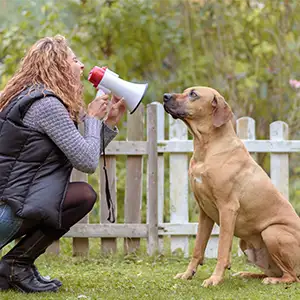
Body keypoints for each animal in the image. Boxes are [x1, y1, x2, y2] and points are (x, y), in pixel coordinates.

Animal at [163, 86, 300, 286]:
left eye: (193, 94)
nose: (165, 96)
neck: (207, 147)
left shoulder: (227, 208)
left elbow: (222, 249)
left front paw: (214, 279)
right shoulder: (204, 212)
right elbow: (198, 248)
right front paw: (188, 274)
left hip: (272, 231)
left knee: (292, 276)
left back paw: (272, 280)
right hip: (246, 243)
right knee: (275, 272)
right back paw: (248, 274)